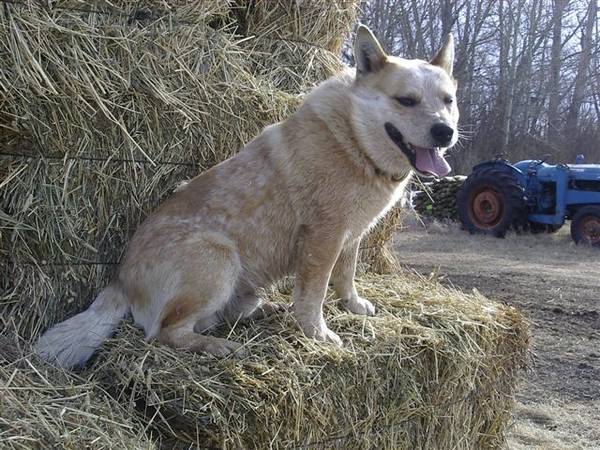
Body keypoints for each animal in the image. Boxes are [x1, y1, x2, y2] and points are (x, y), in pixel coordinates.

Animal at [36, 25, 460, 370]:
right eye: (406, 100)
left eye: (448, 100)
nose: (445, 132)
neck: (353, 139)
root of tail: (121, 280)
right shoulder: (323, 236)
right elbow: (314, 293)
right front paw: (318, 333)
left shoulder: (351, 235)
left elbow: (346, 276)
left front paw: (353, 305)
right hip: (218, 256)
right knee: (166, 332)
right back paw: (218, 346)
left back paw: (261, 310)